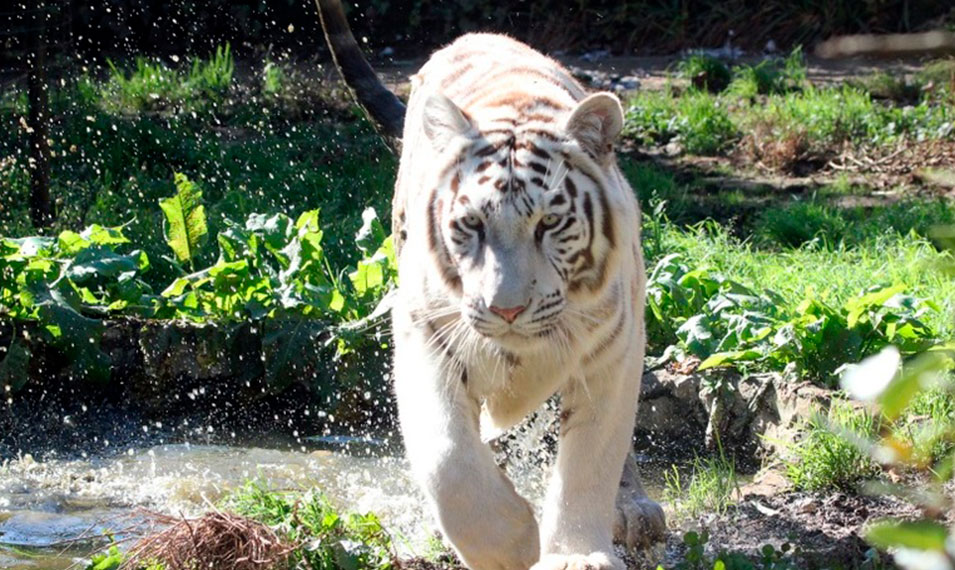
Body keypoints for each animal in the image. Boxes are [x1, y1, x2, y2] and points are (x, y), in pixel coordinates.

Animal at [318, 2, 668, 564]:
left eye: (550, 223)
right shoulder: (425, 335)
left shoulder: (614, 348)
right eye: (472, 224)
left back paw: (634, 511)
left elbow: (591, 458)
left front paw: (575, 555)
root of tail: (472, 36)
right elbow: (449, 460)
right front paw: (509, 546)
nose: (507, 310)